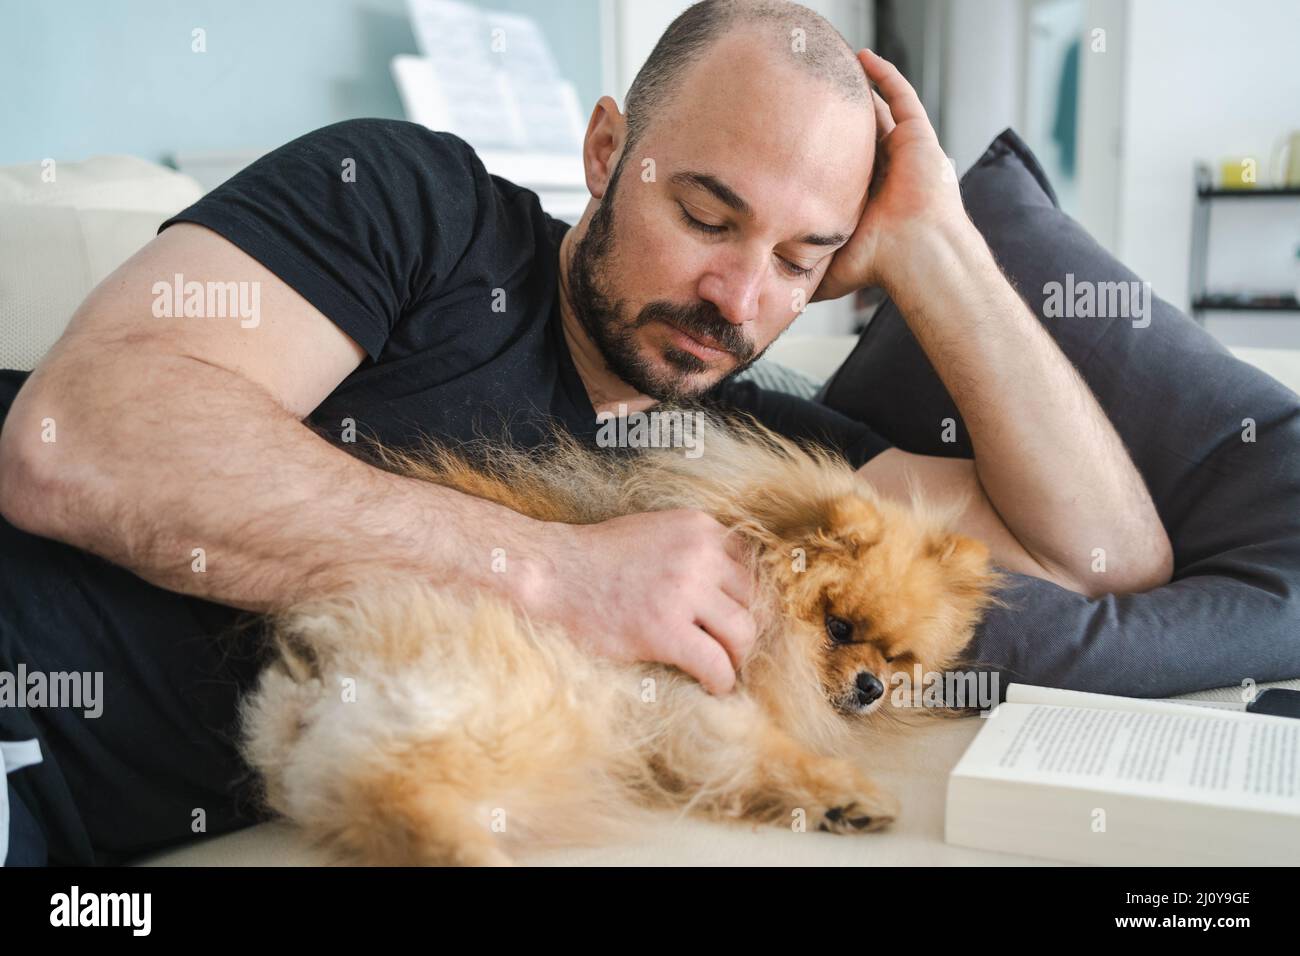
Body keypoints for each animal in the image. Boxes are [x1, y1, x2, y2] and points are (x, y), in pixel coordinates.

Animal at [239, 411, 1008, 868]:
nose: (872, 686)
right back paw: (471, 854)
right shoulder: (686, 694)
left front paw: (834, 804)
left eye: (898, 659)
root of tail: (311, 674)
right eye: (839, 627)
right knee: (396, 791)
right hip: (509, 706)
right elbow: (770, 750)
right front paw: (845, 788)